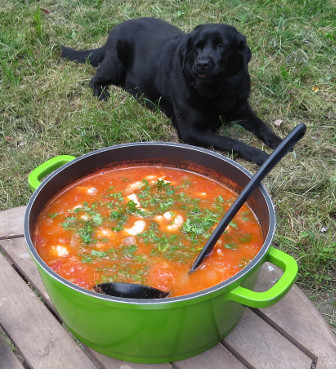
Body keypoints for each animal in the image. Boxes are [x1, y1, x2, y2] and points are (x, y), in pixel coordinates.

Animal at [61, 16, 282, 164]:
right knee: (95, 79)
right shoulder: (190, 131)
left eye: (222, 46)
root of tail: (114, 30)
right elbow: (231, 141)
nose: (202, 64)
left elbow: (263, 126)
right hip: (114, 62)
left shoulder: (242, 108)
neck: (218, 90)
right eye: (197, 46)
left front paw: (279, 143)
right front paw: (259, 155)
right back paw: (103, 93)